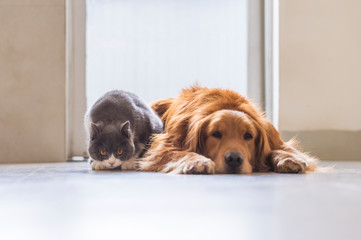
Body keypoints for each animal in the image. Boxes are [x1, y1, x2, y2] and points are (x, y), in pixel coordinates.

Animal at [138, 87, 316, 173]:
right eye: (215, 134)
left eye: (248, 136)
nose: (234, 159)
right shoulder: (164, 145)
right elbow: (178, 152)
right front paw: (198, 161)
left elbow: (277, 150)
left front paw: (287, 158)